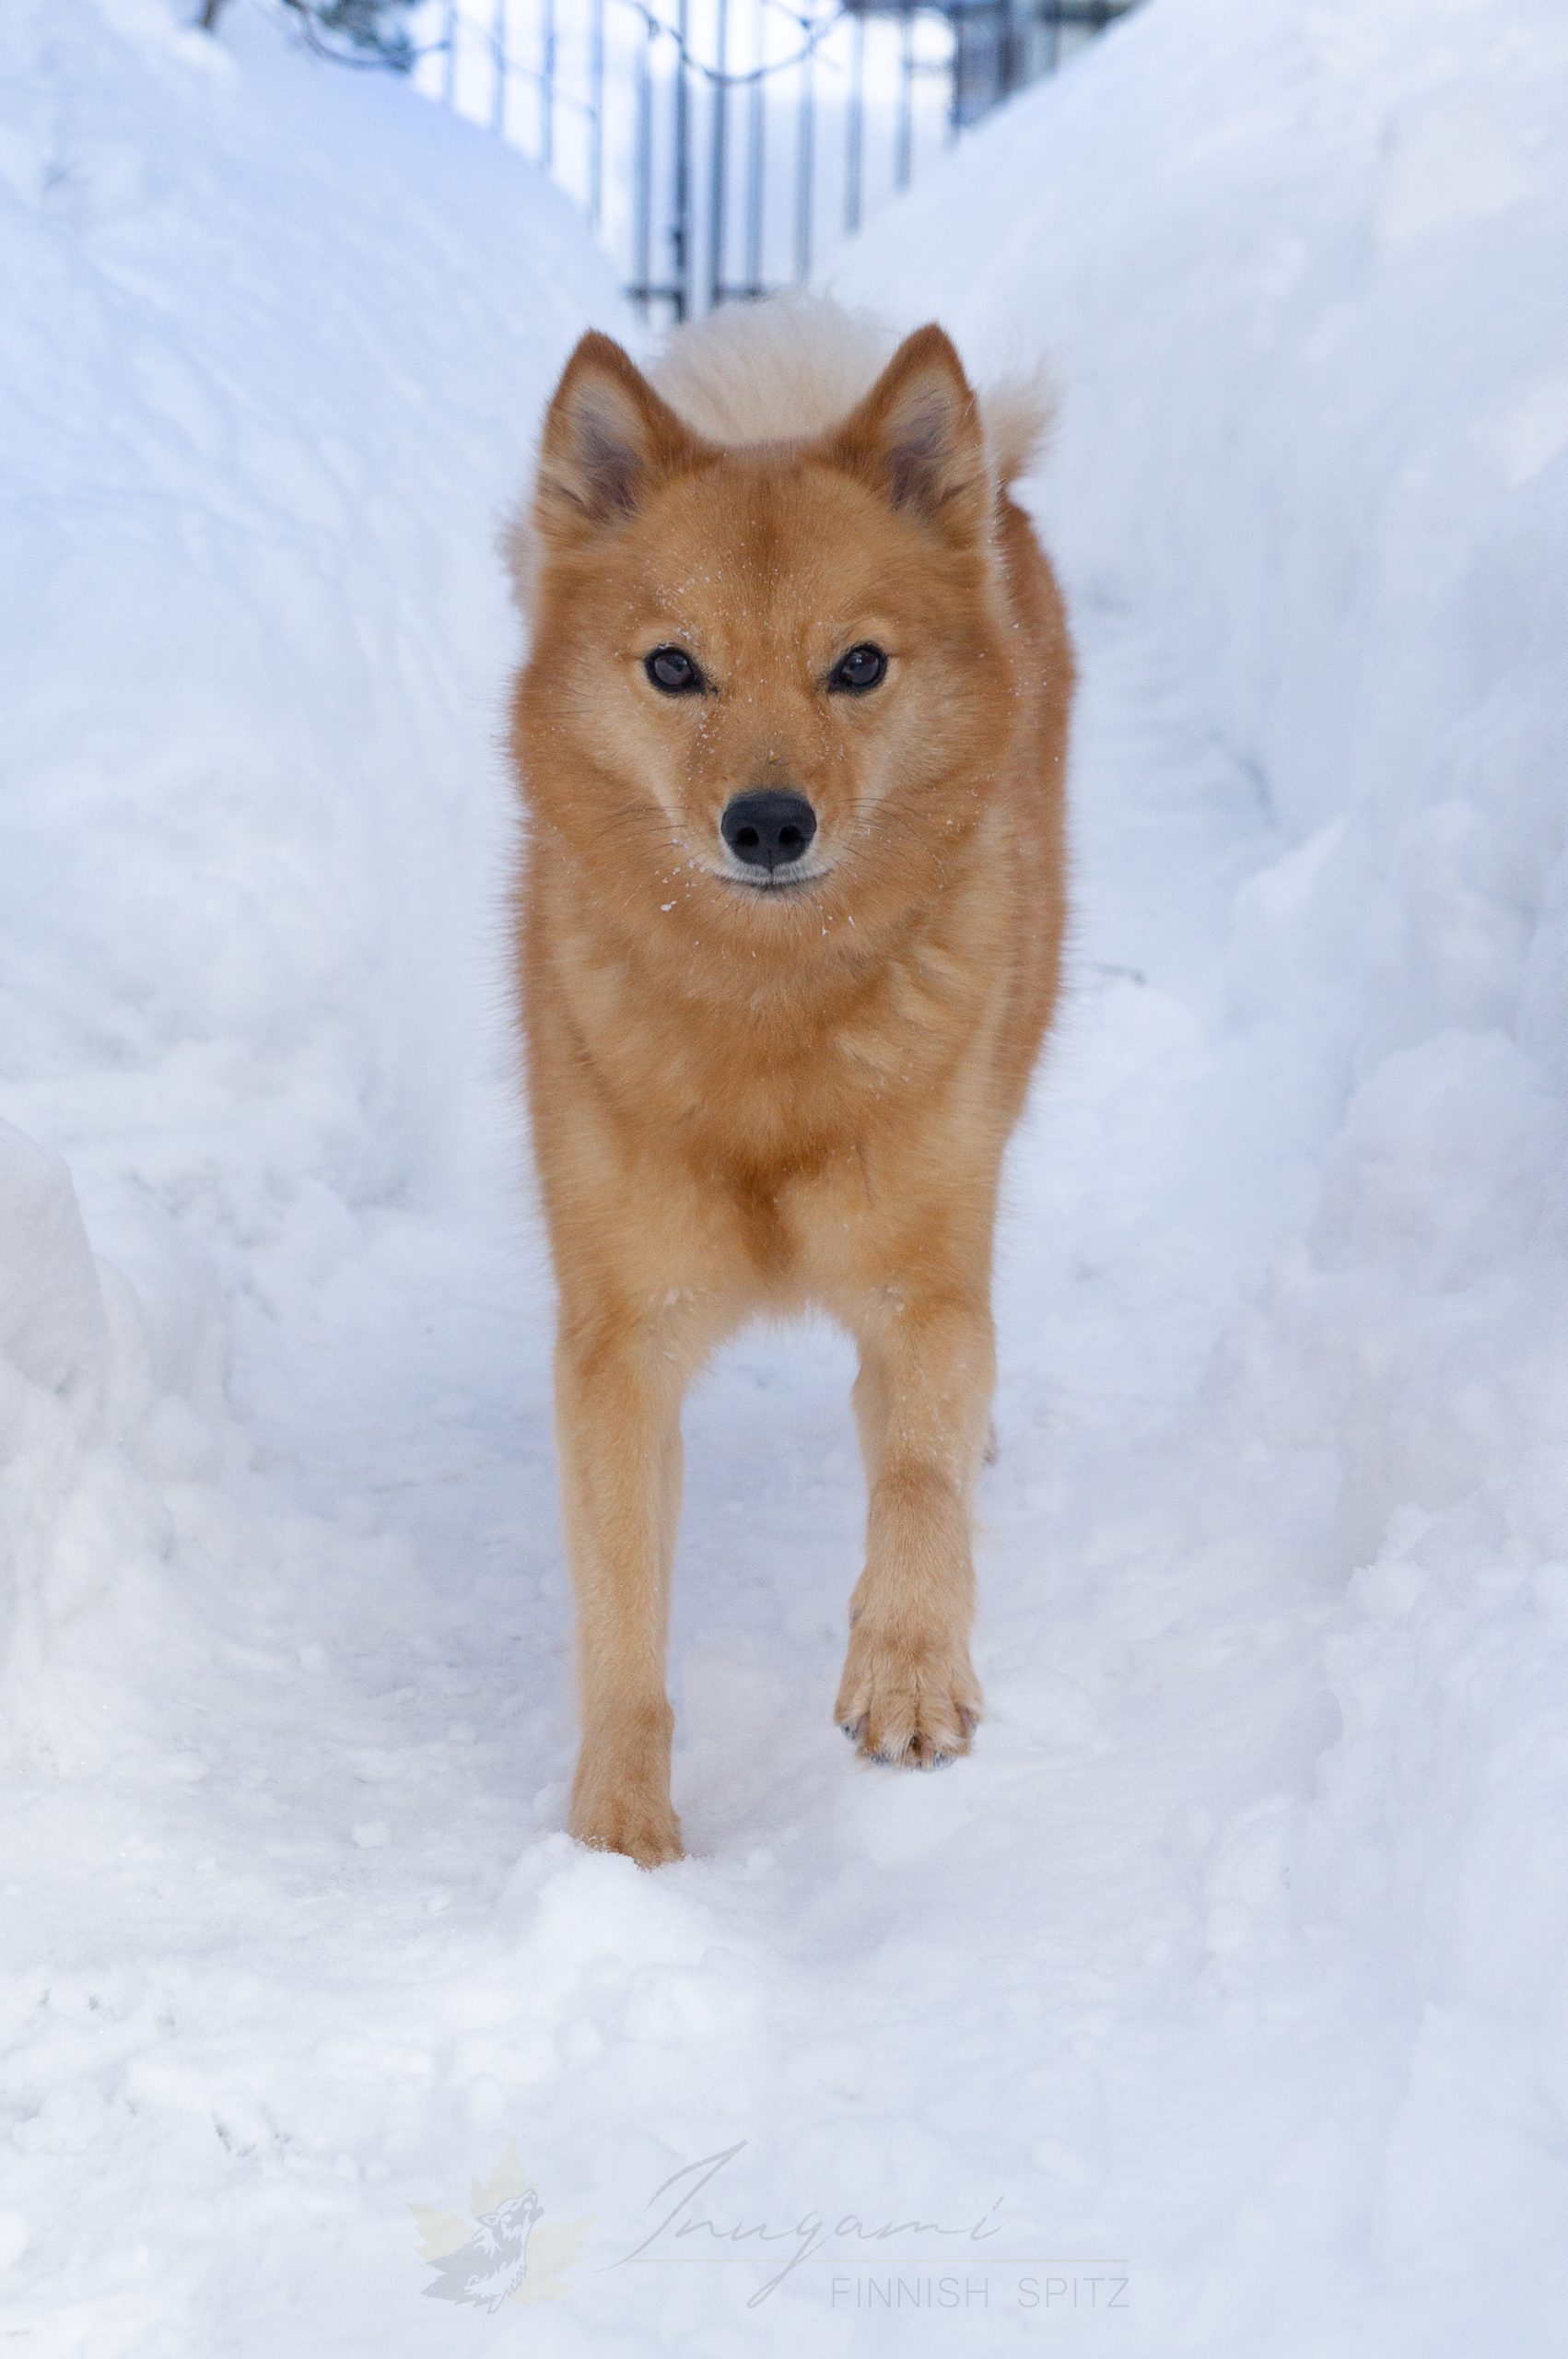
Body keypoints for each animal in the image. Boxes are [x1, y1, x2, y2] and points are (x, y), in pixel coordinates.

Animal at [507, 304, 1070, 1868]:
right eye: (673, 668)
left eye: (858, 666)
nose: (768, 823)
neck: (767, 1022)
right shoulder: (618, 1349)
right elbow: (621, 1621)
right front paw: (620, 1841)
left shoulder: (923, 1287)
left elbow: (919, 1477)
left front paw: (910, 1667)